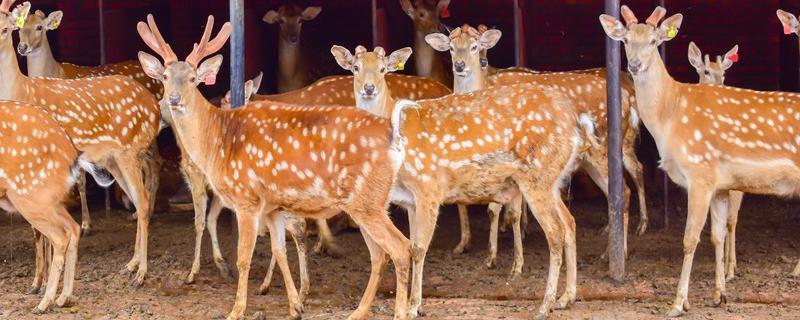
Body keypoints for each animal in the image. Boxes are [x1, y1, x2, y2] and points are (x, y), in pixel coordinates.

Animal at [0, 0, 161, 284]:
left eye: (7, 28)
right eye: (20, 29)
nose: (22, 47)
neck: (22, 89)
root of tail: (154, 104)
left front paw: (41, 281)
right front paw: (39, 280)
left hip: (132, 149)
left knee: (144, 192)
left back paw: (141, 272)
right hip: (114, 159)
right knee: (138, 192)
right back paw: (131, 264)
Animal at [138, 13, 412, 318]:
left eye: (193, 78)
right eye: (164, 77)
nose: (174, 99)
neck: (218, 141)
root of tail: (395, 137)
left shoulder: (246, 198)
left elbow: (243, 257)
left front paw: (237, 310)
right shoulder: (273, 206)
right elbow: (280, 251)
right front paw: (295, 305)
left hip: (366, 199)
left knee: (401, 248)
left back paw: (400, 311)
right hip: (372, 202)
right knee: (382, 253)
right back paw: (360, 311)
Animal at [332, 43, 600, 318]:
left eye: (383, 69)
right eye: (355, 67)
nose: (368, 88)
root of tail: (575, 122)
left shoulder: (428, 186)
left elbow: (418, 247)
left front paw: (414, 307)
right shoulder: (410, 200)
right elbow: (413, 246)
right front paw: (415, 303)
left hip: (538, 175)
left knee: (555, 231)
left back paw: (545, 305)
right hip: (552, 179)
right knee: (569, 222)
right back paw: (566, 297)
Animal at [600, 5, 800, 318]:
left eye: (655, 41)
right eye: (625, 40)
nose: (634, 65)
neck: (669, 116)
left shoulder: (699, 172)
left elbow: (689, 239)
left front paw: (678, 303)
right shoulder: (720, 185)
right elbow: (716, 235)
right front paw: (720, 295)